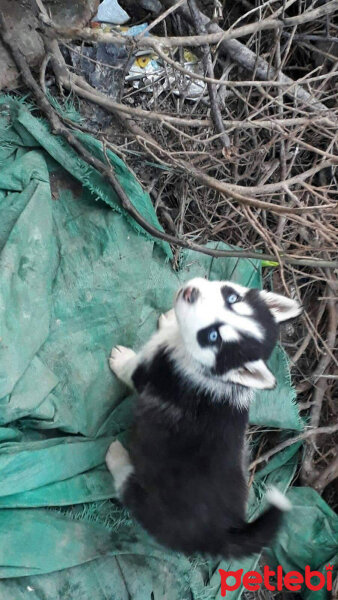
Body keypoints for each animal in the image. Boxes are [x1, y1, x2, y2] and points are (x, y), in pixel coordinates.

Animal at [105, 276, 302, 556]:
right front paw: (169, 319)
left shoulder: (147, 370)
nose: (190, 292)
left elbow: (127, 369)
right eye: (232, 298)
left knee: (128, 486)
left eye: (213, 337)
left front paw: (120, 358)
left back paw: (117, 457)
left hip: (151, 501)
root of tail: (227, 532)